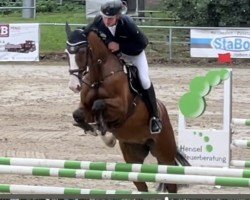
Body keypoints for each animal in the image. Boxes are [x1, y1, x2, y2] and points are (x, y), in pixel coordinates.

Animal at [65, 24, 189, 193]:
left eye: (82, 51)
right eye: (67, 53)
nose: (74, 86)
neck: (99, 77)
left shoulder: (121, 108)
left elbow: (99, 104)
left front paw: (102, 128)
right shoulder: (86, 109)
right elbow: (78, 114)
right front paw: (94, 130)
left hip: (164, 154)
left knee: (171, 181)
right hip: (133, 157)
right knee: (141, 184)